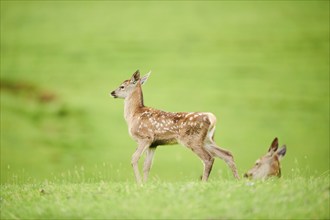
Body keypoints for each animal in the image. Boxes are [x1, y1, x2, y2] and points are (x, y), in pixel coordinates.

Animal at [111, 70, 240, 184]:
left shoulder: (145, 137)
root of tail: (212, 118)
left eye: (122, 86)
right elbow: (147, 166)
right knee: (227, 154)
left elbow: (134, 159)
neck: (134, 114)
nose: (112, 92)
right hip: (207, 139)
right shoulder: (153, 144)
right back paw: (238, 180)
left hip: (192, 140)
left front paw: (139, 184)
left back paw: (204, 183)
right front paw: (145, 184)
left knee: (208, 158)